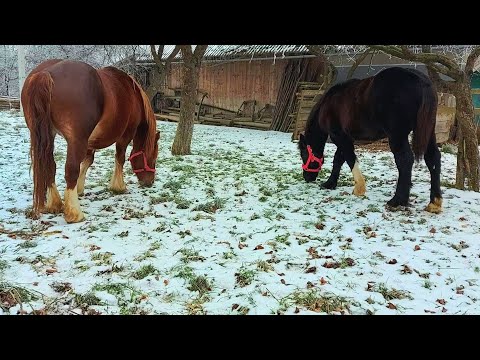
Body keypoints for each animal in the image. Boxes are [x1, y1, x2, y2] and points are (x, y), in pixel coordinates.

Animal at [21, 59, 160, 222]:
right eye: (153, 157)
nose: (149, 182)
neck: (132, 95)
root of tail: (45, 73)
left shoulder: (89, 141)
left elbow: (88, 161)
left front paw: (80, 188)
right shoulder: (125, 135)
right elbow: (120, 158)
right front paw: (118, 186)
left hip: (48, 136)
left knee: (49, 166)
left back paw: (55, 203)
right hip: (75, 140)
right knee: (70, 169)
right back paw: (75, 214)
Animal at [300, 67, 442, 212]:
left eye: (304, 154)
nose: (307, 177)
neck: (329, 104)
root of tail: (422, 81)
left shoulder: (338, 136)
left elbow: (349, 158)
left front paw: (359, 188)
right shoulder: (346, 138)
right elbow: (339, 159)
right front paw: (330, 183)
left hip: (397, 136)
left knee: (405, 160)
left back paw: (397, 200)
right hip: (429, 131)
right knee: (433, 158)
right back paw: (434, 202)